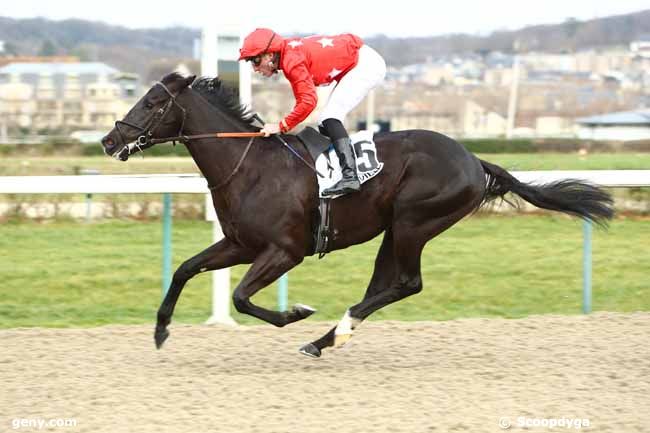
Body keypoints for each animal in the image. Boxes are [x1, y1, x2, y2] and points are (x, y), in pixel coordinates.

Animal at [102, 72, 612, 358]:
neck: (249, 165)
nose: (109, 140)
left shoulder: (284, 251)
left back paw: (328, 334)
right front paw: (161, 331)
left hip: (413, 222)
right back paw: (329, 338)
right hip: (395, 230)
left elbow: (242, 298)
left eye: (152, 103)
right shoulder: (240, 244)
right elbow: (185, 269)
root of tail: (473, 159)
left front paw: (296, 313)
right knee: (384, 286)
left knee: (407, 283)